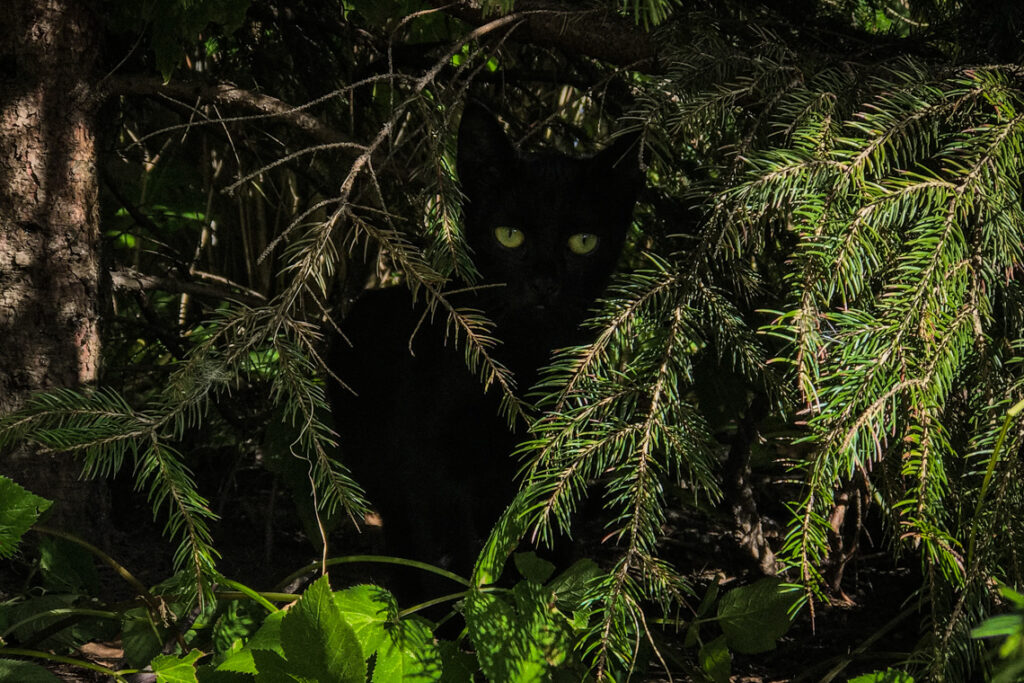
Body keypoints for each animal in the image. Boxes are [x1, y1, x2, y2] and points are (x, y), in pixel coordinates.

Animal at [329, 102, 638, 602]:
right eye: (509, 235)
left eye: (583, 241)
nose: (544, 283)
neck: (522, 359)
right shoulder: (431, 465)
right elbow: (447, 556)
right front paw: (457, 616)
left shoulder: (551, 463)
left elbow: (543, 548)